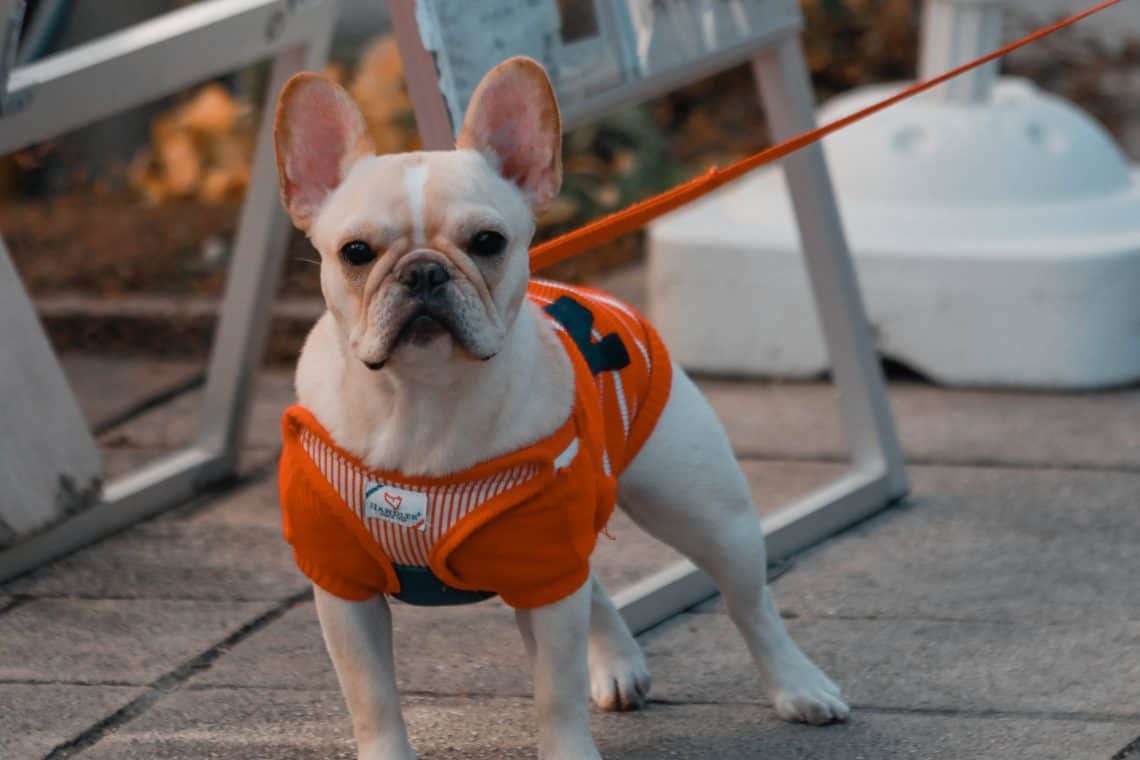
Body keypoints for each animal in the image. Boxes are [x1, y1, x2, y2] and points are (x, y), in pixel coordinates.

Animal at [273, 54, 848, 760]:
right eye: (356, 252)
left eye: (487, 241)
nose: (425, 272)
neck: (424, 398)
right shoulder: (345, 585)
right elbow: (371, 697)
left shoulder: (547, 566)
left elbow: (556, 688)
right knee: (595, 584)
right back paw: (619, 663)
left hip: (706, 513)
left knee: (751, 607)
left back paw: (799, 687)